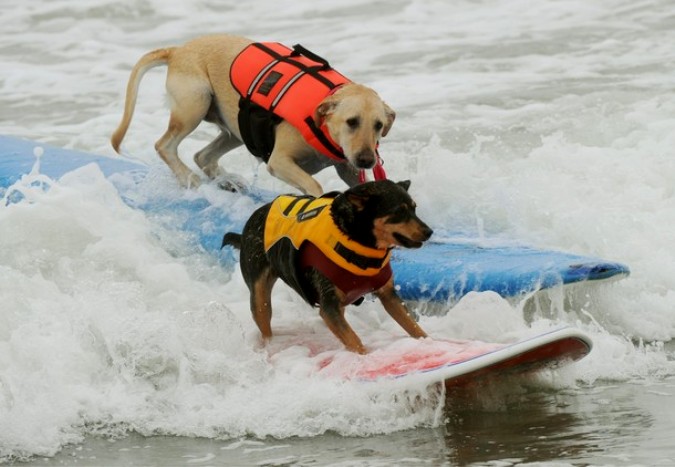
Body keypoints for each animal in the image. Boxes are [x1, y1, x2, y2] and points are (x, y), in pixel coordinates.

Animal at [111, 34, 396, 196]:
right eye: (351, 122)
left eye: (379, 125)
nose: (367, 161)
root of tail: (177, 50)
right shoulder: (279, 161)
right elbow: (313, 185)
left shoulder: (347, 168)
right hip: (195, 103)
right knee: (165, 145)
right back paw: (190, 180)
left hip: (235, 128)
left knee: (203, 156)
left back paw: (227, 182)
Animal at [222, 179, 434, 354]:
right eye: (399, 212)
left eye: (414, 208)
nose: (429, 232)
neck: (356, 240)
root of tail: (251, 220)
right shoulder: (329, 306)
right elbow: (354, 340)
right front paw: (365, 357)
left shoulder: (388, 295)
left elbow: (412, 325)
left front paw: (430, 343)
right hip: (259, 296)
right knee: (263, 315)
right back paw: (270, 348)